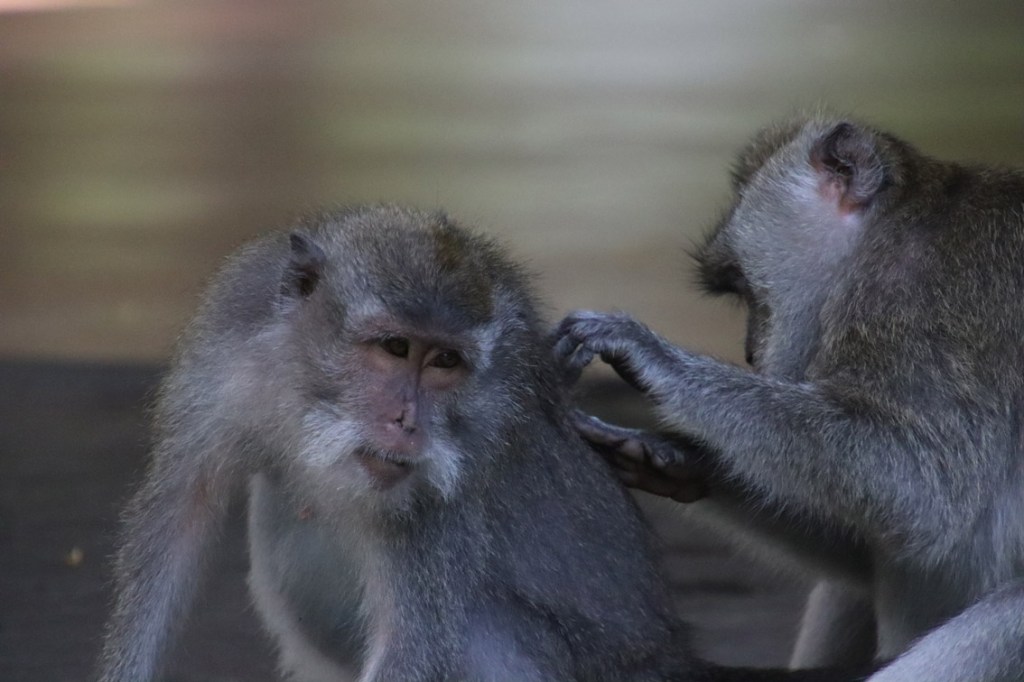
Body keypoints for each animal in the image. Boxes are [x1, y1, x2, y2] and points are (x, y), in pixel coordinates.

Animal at [96, 204, 868, 682]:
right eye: (394, 348)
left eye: (445, 363)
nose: (407, 423)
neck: (302, 388)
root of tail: (667, 658)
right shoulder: (225, 352)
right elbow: (176, 523)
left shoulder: (449, 477)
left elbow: (416, 643)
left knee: (478, 621)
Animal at [554, 115, 1024, 682]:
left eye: (742, 283)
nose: (750, 352)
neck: (893, 223)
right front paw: (672, 457)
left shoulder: (927, 296)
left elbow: (924, 490)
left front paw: (653, 358)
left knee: (1008, 614)